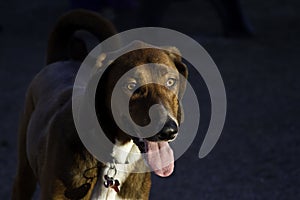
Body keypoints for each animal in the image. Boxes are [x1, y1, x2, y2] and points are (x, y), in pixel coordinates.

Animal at [13, 9, 188, 200]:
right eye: (131, 86)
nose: (168, 131)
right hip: (24, 174)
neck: (115, 159)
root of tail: (62, 60)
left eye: (171, 81)